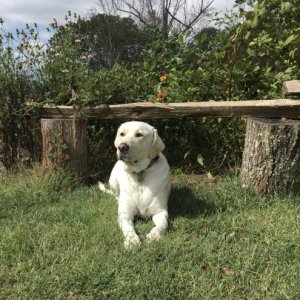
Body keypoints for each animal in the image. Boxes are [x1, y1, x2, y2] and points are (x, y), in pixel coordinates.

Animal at [99, 120, 171, 250]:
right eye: (122, 134)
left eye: (139, 135)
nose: (122, 147)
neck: (139, 172)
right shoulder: (125, 215)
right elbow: (128, 228)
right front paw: (132, 241)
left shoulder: (160, 212)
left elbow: (163, 224)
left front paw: (155, 235)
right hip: (113, 180)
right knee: (116, 194)